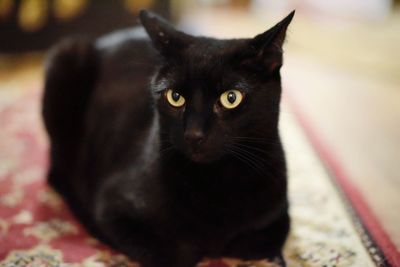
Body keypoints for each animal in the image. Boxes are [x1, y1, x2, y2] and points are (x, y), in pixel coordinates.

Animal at [42, 9, 296, 267]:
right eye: (175, 97)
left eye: (231, 98)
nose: (193, 133)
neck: (215, 181)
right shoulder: (112, 208)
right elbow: (177, 253)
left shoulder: (279, 213)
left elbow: (265, 240)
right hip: (66, 58)